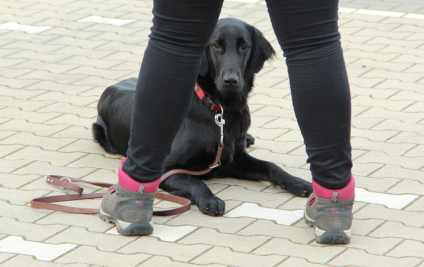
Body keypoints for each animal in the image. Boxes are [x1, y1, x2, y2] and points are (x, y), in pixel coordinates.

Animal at [93, 17, 312, 218]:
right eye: (216, 45)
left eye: (244, 46)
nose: (231, 80)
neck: (220, 110)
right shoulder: (165, 169)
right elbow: (194, 180)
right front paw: (210, 199)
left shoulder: (234, 158)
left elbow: (271, 166)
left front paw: (297, 182)